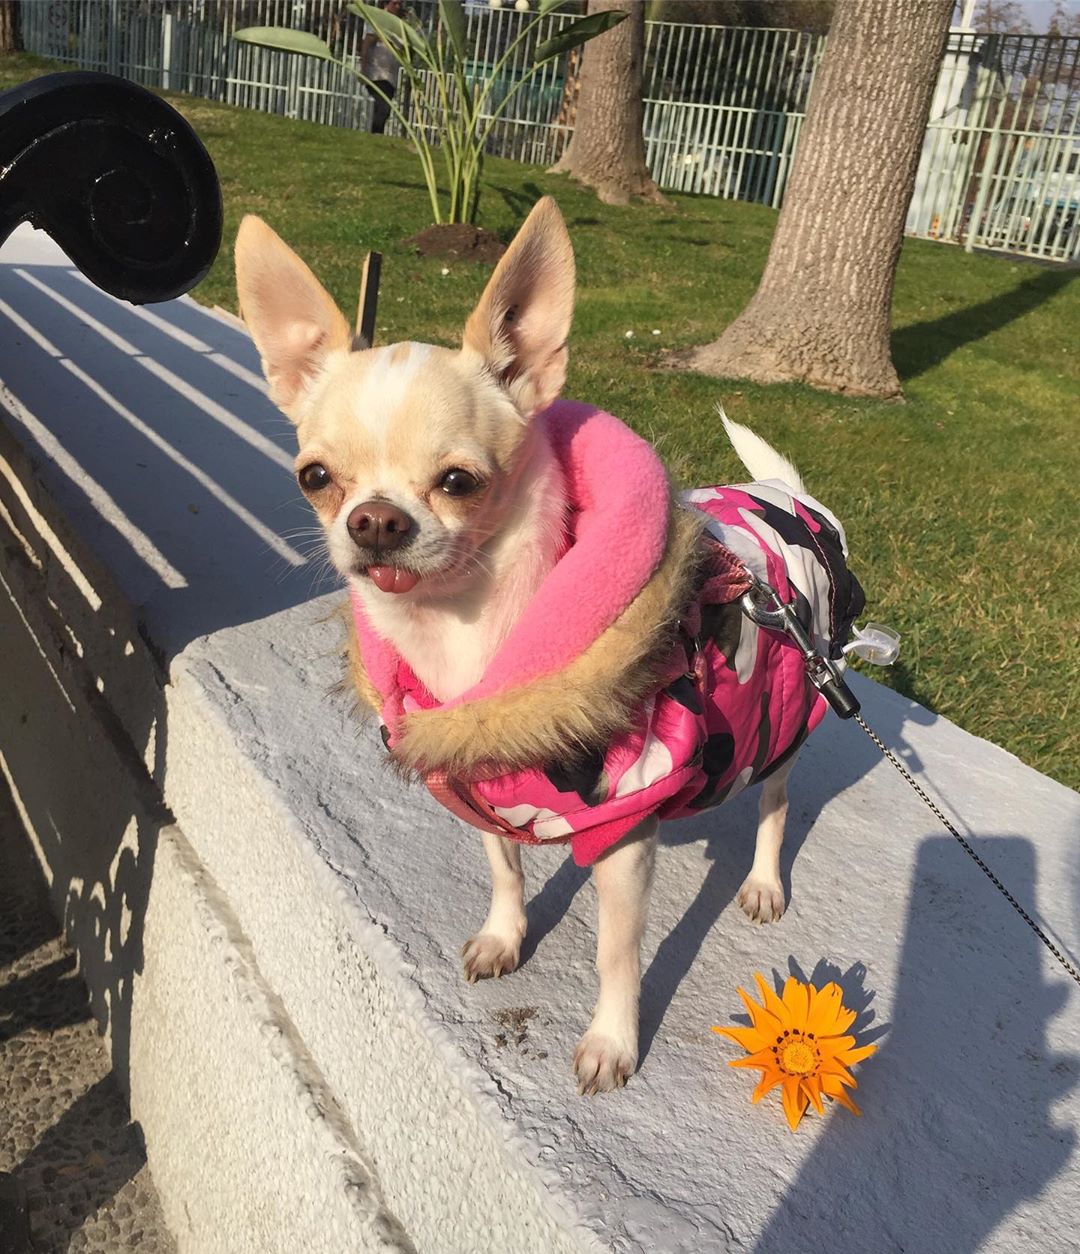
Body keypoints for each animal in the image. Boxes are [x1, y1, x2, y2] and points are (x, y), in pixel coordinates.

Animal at [235, 198, 857, 1098]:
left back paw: (765, 882)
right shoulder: (482, 774)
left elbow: (615, 955)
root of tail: (785, 495)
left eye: (459, 482)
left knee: (774, 807)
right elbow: (505, 867)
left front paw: (612, 1040)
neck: (466, 635)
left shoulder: (624, 838)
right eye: (315, 477)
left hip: (786, 715)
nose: (375, 520)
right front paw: (506, 935)